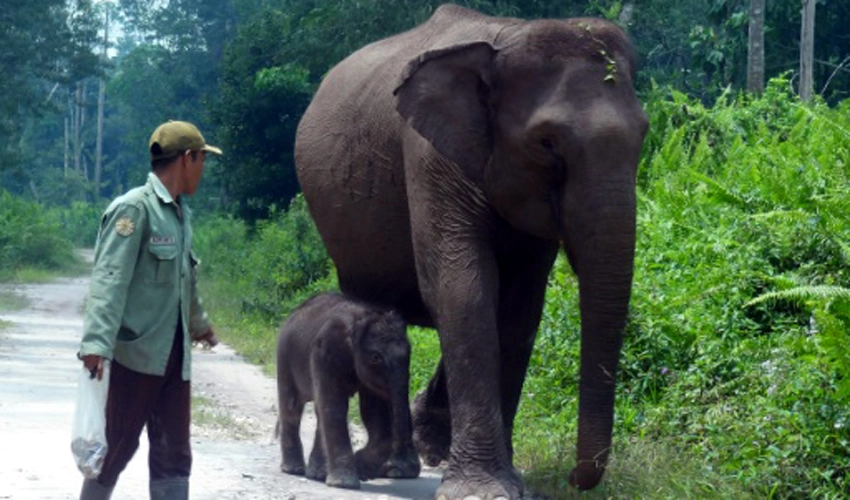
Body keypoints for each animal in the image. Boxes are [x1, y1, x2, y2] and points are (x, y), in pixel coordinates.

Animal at [276, 292, 420, 488]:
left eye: (409, 353)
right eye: (376, 357)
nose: (369, 475)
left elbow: (374, 412)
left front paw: (361, 468)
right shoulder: (325, 351)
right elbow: (335, 406)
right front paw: (345, 483)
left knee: (317, 411)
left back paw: (318, 474)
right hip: (284, 356)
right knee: (291, 407)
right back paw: (294, 470)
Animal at [294, 4, 644, 500]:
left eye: (644, 136)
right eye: (547, 143)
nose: (573, 479)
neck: (505, 40)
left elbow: (518, 307)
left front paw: (510, 482)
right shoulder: (428, 155)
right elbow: (463, 288)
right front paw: (484, 489)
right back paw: (394, 464)